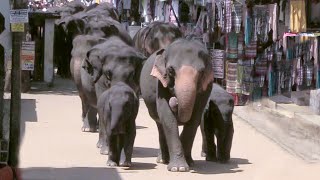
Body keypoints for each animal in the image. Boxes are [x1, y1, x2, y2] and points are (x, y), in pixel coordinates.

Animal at [141, 39, 214, 172]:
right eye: (170, 70)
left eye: (201, 72)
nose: (174, 100)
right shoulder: (160, 84)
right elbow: (167, 117)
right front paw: (178, 168)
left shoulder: (207, 86)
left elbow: (195, 118)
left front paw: (187, 165)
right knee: (160, 124)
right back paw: (163, 160)